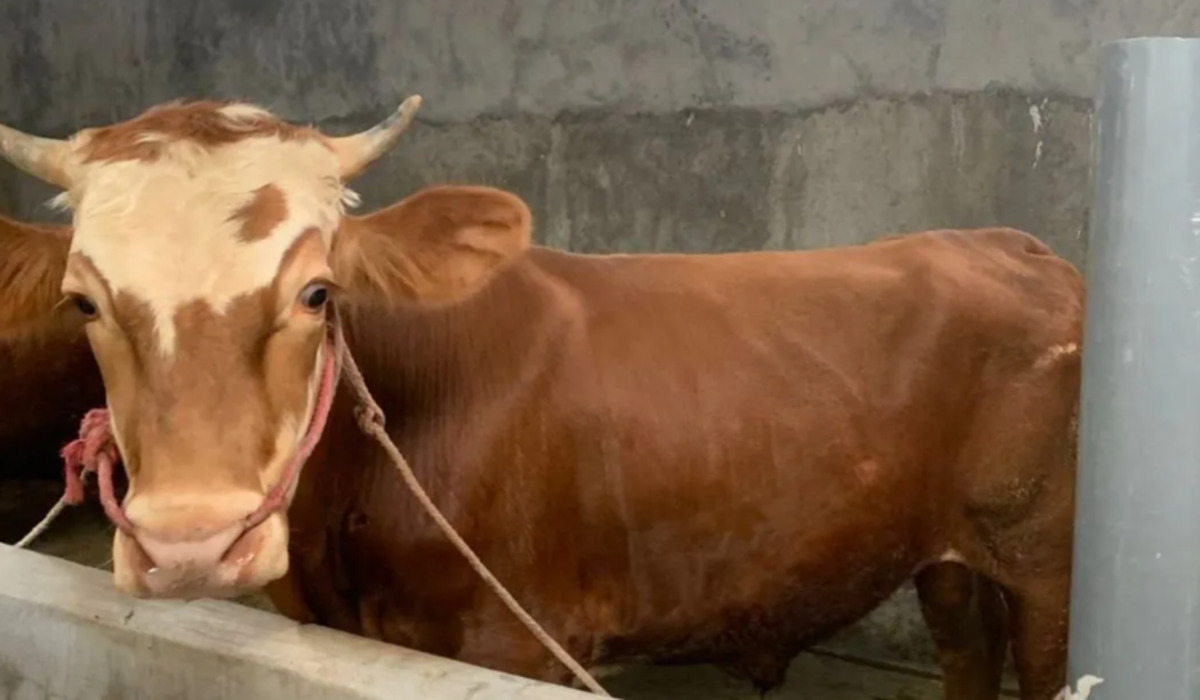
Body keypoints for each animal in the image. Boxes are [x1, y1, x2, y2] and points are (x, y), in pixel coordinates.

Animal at [0, 97, 1082, 700]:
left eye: (317, 291)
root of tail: (1011, 242)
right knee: (966, 654)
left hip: (1046, 563)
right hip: (944, 554)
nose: (190, 543)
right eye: (82, 300)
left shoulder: (514, 638)